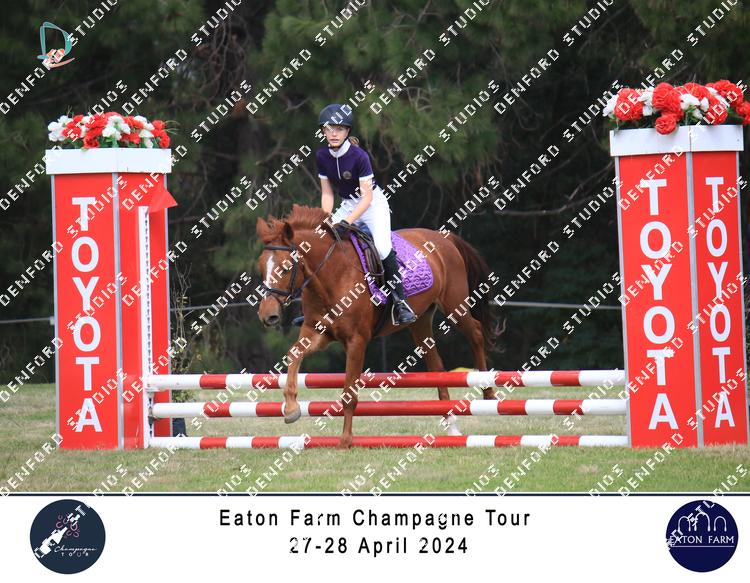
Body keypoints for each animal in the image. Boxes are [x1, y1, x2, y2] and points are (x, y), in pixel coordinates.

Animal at [255, 204, 501, 449]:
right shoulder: (316, 333)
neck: (330, 275)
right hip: (421, 320)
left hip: (455, 304)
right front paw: (291, 409)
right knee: (437, 364)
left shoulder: (357, 341)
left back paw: (488, 392)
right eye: (261, 268)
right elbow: (294, 354)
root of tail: (444, 238)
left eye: (286, 268)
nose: (268, 315)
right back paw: (451, 426)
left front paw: (345, 440)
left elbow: (349, 393)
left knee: (476, 332)